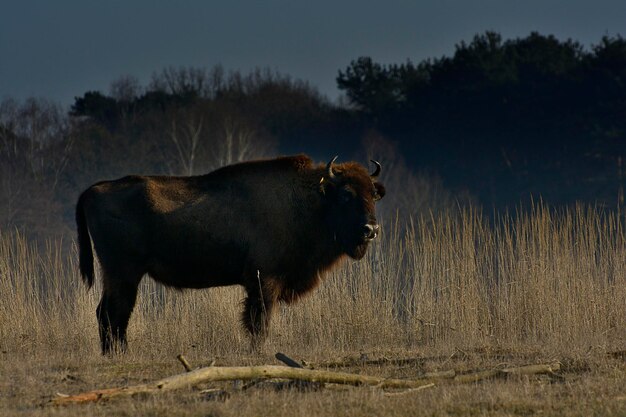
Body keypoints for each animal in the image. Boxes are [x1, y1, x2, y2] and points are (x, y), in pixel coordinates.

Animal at [75, 154, 382, 352]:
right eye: (346, 194)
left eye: (373, 194)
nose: (371, 229)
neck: (311, 200)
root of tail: (94, 189)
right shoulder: (264, 281)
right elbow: (259, 321)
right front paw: (257, 351)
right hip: (123, 273)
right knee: (113, 311)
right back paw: (119, 353)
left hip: (121, 275)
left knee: (110, 312)